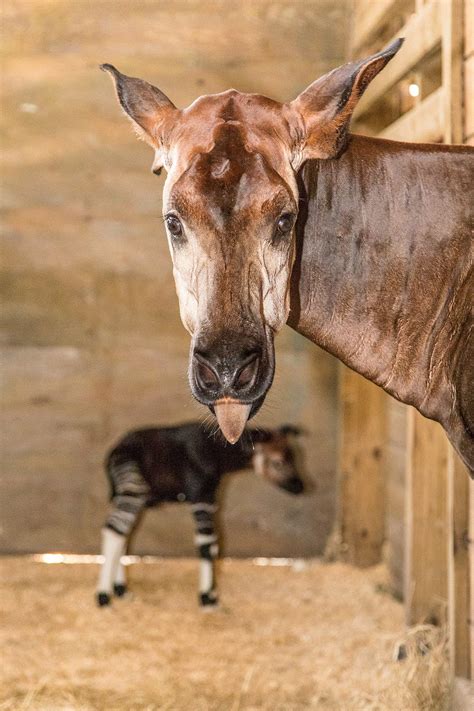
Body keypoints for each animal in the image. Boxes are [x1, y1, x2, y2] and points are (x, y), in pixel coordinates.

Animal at [96, 422, 304, 608]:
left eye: (294, 458)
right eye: (278, 462)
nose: (300, 487)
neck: (218, 452)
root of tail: (113, 452)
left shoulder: (211, 501)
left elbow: (212, 545)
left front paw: (212, 595)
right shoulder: (201, 499)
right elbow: (205, 546)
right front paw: (206, 600)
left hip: (125, 495)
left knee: (122, 534)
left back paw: (121, 590)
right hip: (133, 490)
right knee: (114, 531)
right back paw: (103, 597)